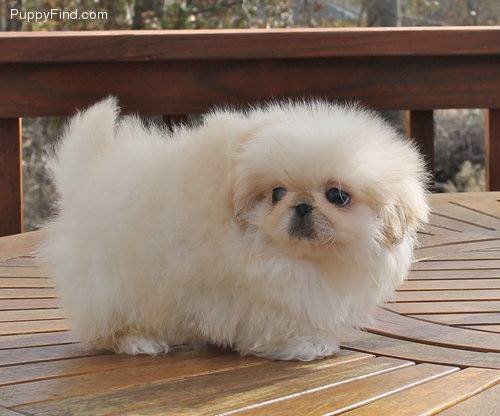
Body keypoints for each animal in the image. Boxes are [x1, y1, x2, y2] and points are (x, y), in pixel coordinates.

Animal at [40, 97, 430, 360]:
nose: (302, 205)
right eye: (276, 194)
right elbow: (276, 321)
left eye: (337, 195)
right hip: (113, 282)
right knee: (112, 322)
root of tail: (88, 176)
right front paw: (305, 345)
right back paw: (139, 341)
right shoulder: (264, 291)